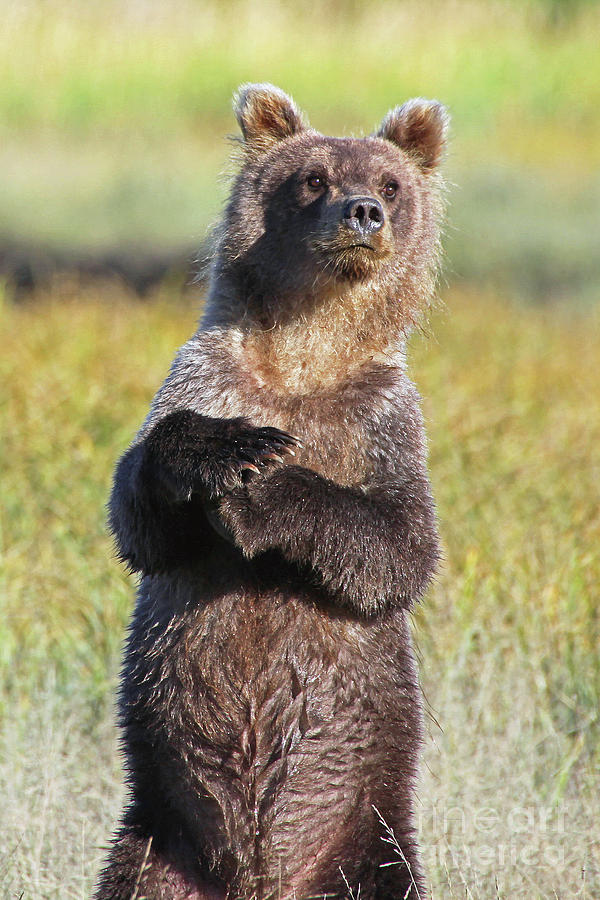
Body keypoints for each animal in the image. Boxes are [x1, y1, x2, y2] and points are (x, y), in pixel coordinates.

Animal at [94, 86, 448, 900]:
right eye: (314, 177)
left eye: (390, 184)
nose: (363, 213)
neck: (302, 357)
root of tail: (257, 880)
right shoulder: (206, 375)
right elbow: (139, 512)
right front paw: (228, 450)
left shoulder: (382, 422)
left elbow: (397, 545)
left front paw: (263, 487)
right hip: (157, 839)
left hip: (367, 834)